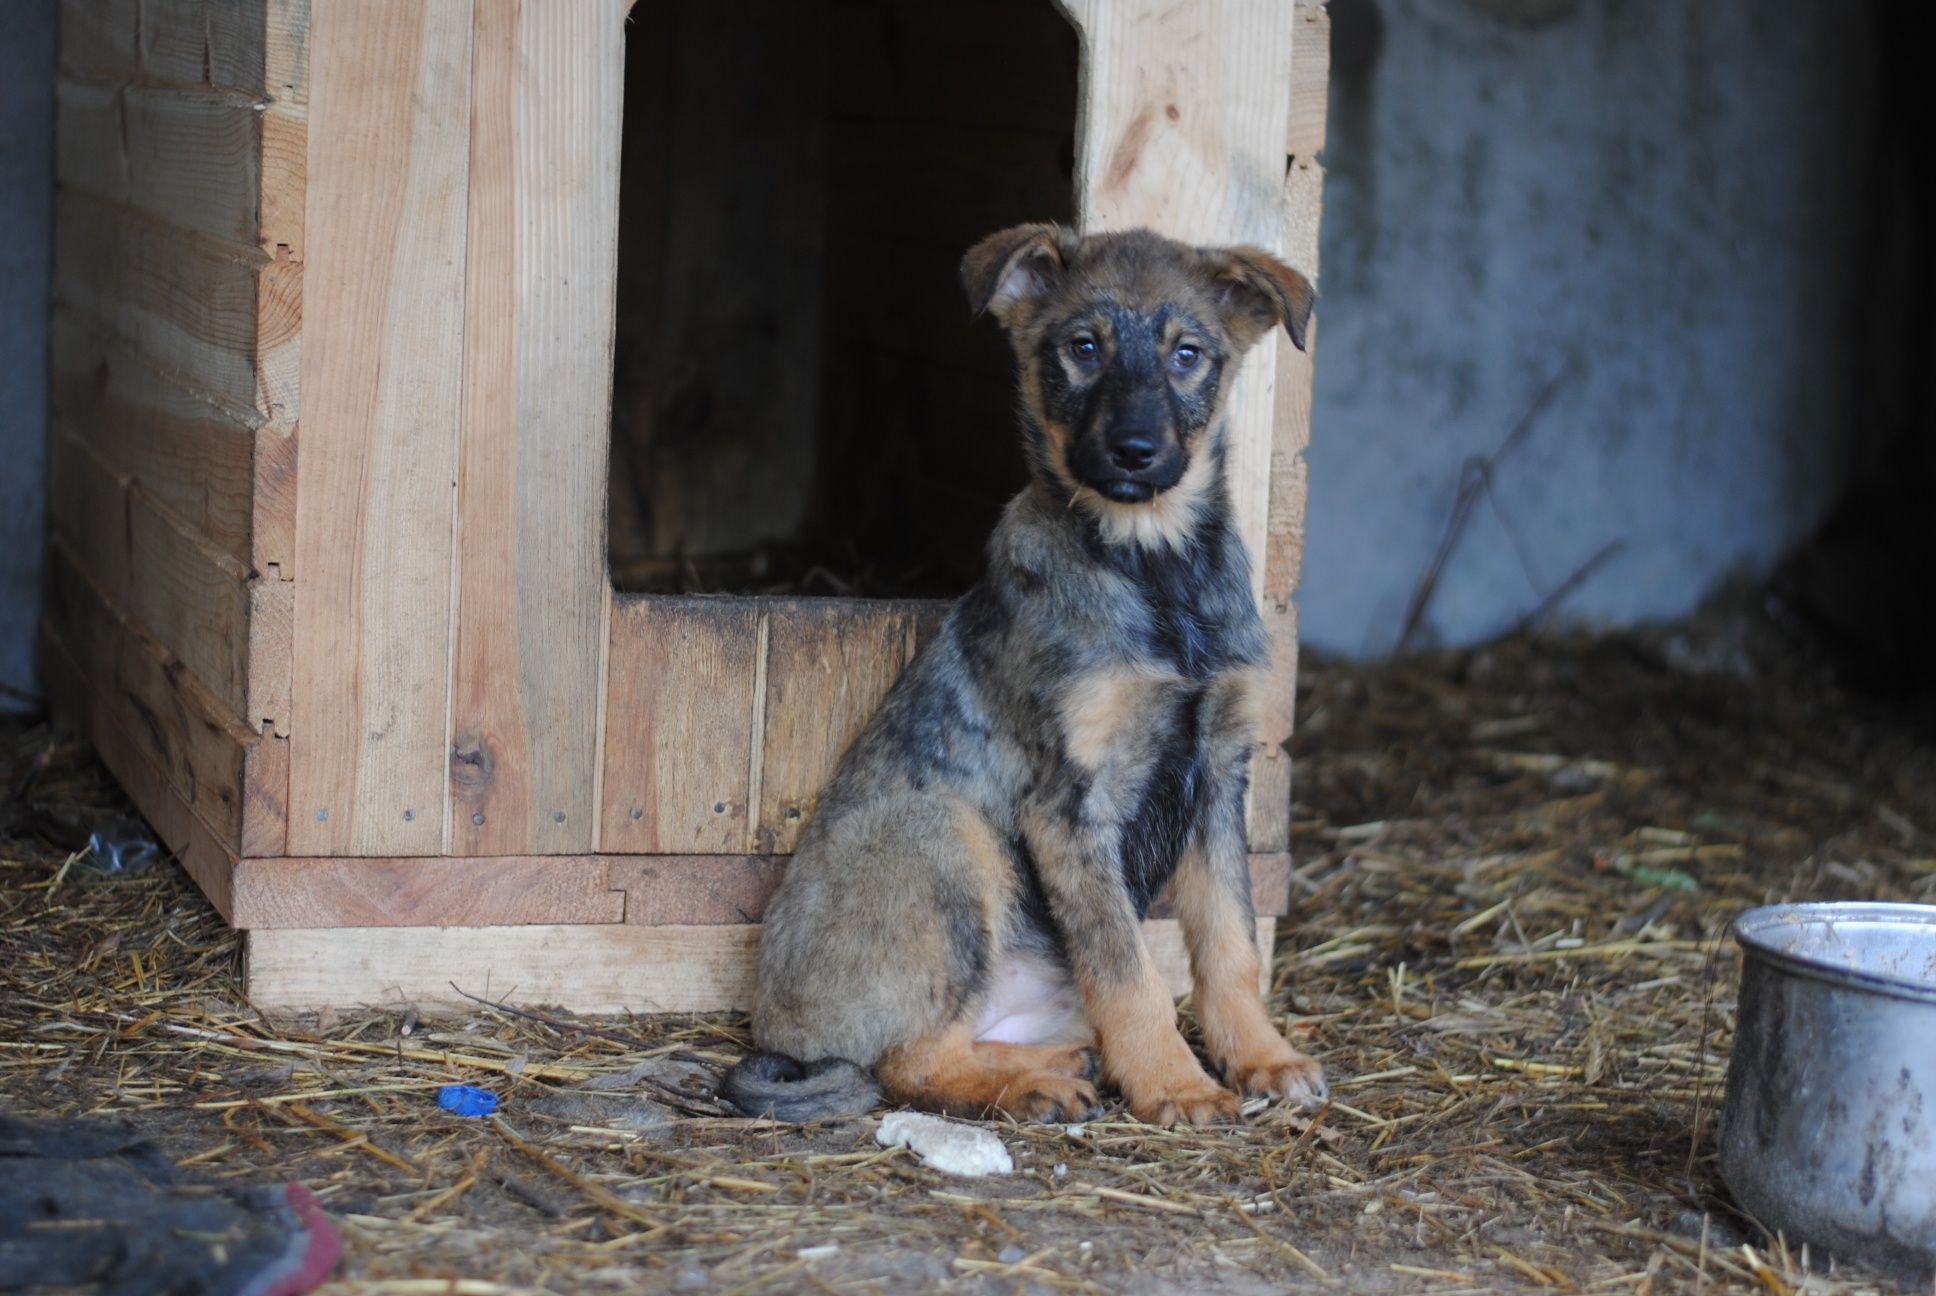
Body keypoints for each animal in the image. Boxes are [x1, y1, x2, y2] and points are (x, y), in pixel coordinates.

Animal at [720, 219, 1324, 1123]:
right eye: (1083, 348)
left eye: (1187, 355)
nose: (1134, 453)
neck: (1154, 569)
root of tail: (778, 1026)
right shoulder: (1069, 804)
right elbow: (1129, 972)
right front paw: (1177, 1084)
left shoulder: (1219, 774)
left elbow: (1230, 944)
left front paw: (1262, 1057)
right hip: (947, 841)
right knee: (910, 1061)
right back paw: (1033, 1085)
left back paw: (1062, 1059)